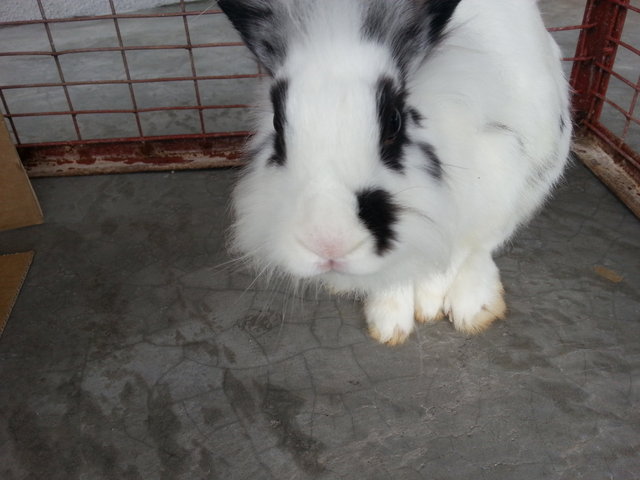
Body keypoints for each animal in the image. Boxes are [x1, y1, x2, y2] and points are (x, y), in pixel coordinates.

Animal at [218, 0, 572, 344]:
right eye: (277, 124)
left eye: (394, 122)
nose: (328, 244)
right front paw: (390, 322)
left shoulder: (497, 180)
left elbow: (460, 253)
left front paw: (435, 305)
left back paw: (474, 308)